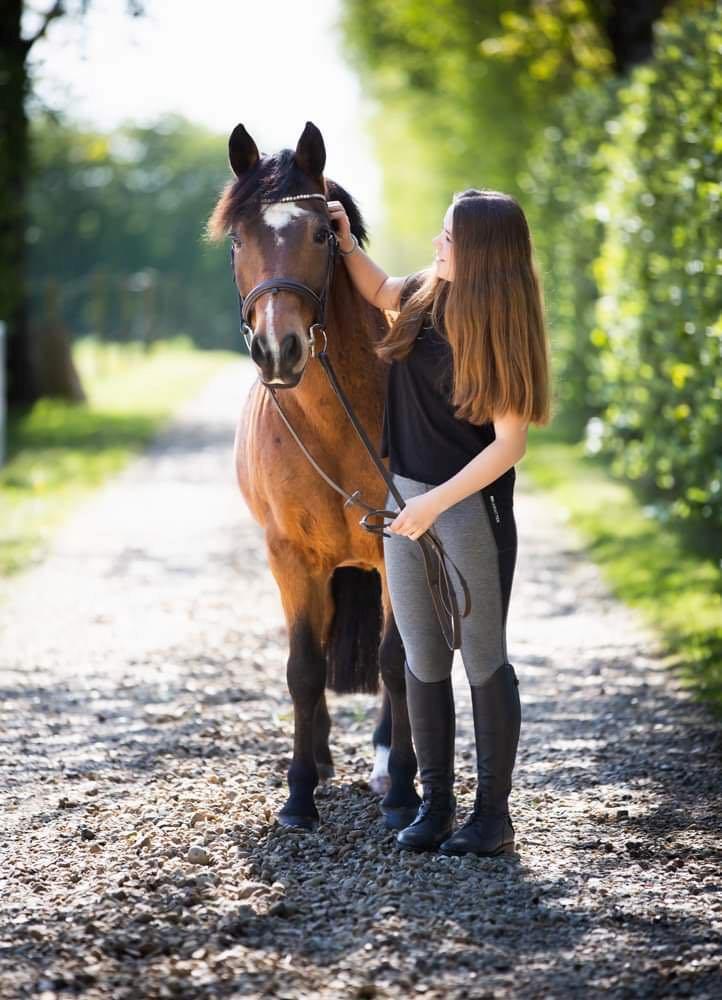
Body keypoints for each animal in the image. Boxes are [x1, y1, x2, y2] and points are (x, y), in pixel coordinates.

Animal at [205, 121, 422, 832]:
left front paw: (403, 790)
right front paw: (299, 793)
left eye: (323, 236)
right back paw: (324, 760)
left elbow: (394, 662)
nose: (279, 350)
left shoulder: (396, 545)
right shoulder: (290, 557)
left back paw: (387, 765)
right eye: (238, 240)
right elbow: (304, 667)